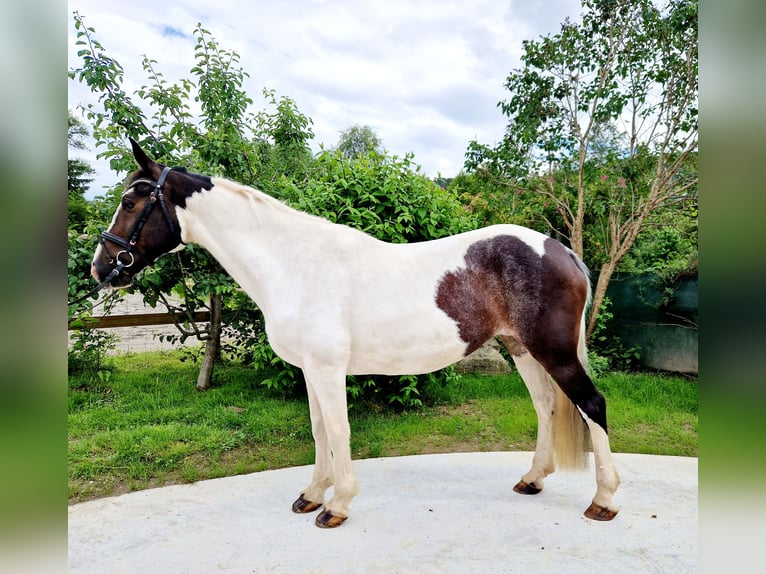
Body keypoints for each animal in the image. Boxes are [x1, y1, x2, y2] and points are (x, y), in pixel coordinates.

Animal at [90, 140, 620, 532]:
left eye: (131, 201)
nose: (101, 268)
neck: (294, 263)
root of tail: (561, 250)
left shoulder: (328, 369)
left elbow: (340, 430)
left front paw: (337, 506)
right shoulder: (310, 370)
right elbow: (319, 429)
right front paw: (310, 495)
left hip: (553, 352)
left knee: (592, 406)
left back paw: (604, 501)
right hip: (522, 349)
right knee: (546, 406)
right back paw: (532, 480)